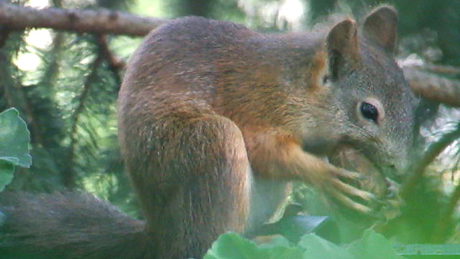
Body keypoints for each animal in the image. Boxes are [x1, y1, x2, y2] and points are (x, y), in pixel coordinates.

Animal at [0, 4, 416, 259]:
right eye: (368, 111)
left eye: (413, 100)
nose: (402, 168)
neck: (298, 82)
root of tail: (158, 234)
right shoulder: (256, 105)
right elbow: (267, 152)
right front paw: (327, 178)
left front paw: (391, 199)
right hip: (208, 145)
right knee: (200, 246)